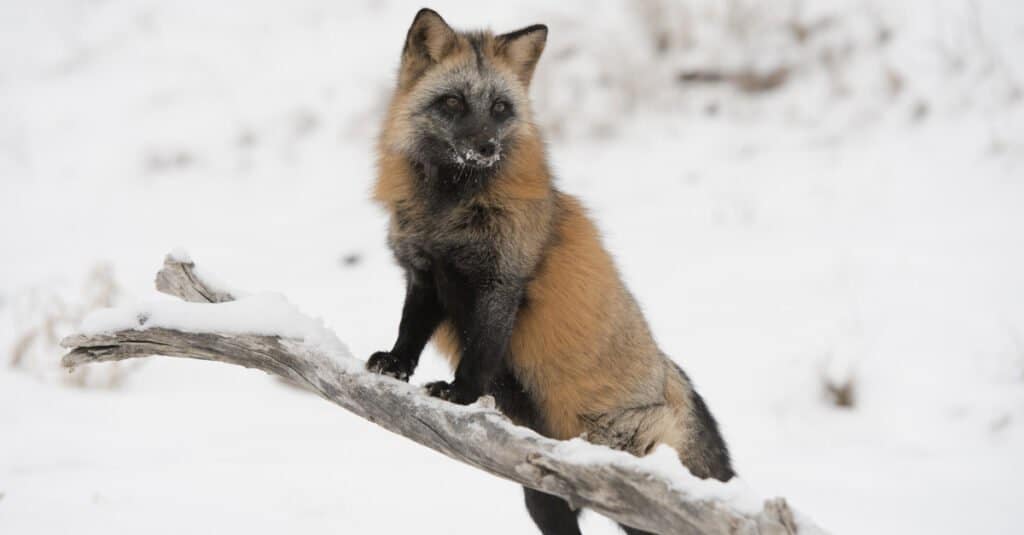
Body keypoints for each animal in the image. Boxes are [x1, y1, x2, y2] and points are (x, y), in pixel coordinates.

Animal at [368, 8, 737, 532]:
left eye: (501, 107)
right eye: (454, 101)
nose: (486, 147)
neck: (449, 211)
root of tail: (674, 378)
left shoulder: (501, 280)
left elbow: (479, 351)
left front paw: (459, 395)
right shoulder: (425, 273)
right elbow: (410, 330)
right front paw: (396, 365)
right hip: (543, 496)